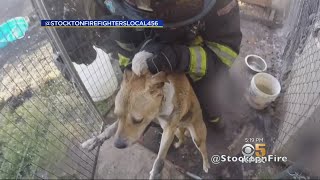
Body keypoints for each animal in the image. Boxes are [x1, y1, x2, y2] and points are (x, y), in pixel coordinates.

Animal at [81, 69, 209, 179]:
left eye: (138, 120)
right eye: (117, 115)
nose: (118, 145)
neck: (162, 99)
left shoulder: (168, 130)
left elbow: (160, 158)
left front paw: (155, 174)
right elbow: (110, 129)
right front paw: (94, 140)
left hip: (197, 137)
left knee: (203, 150)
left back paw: (206, 165)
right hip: (177, 130)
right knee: (182, 138)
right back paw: (178, 144)